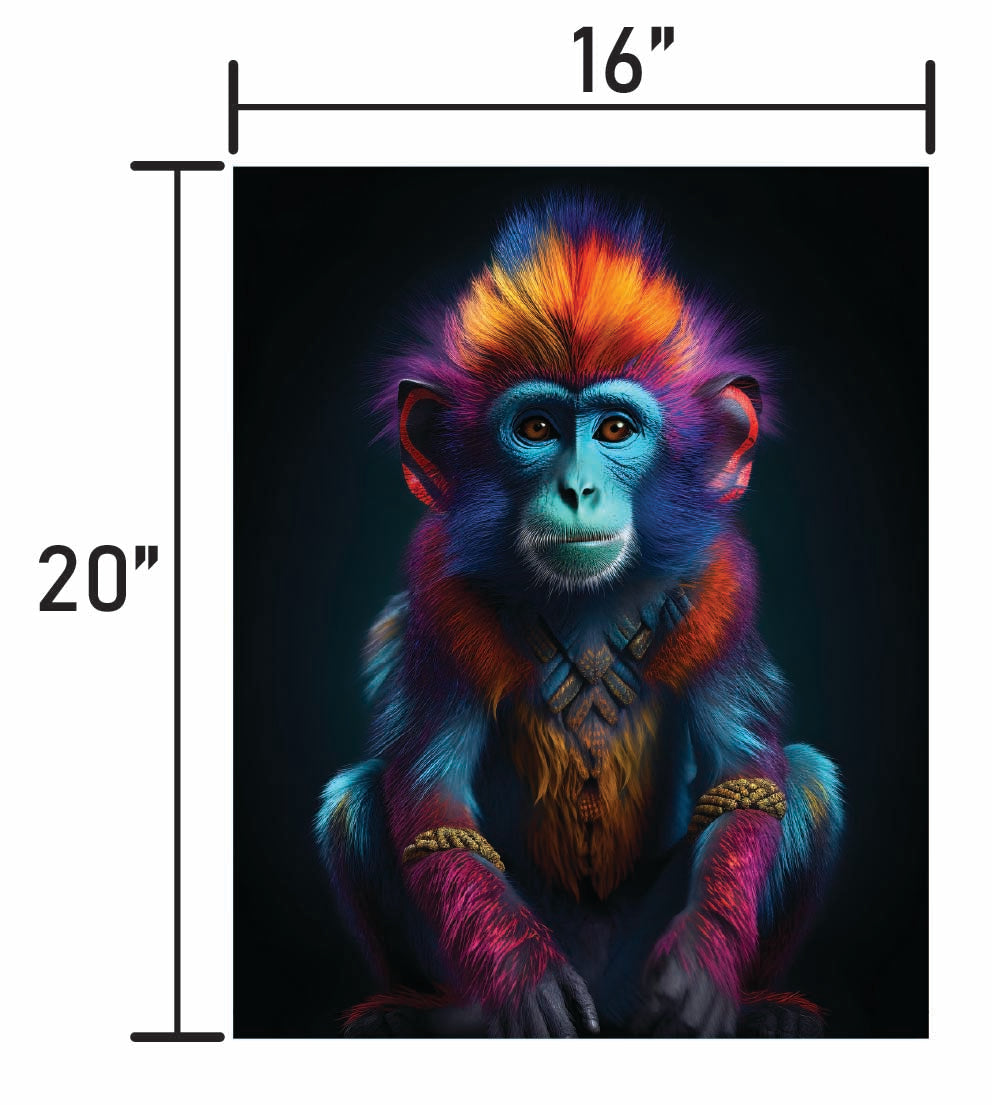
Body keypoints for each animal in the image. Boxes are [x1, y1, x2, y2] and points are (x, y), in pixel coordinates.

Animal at [315, 196, 843, 1038]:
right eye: (535, 429)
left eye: (616, 430)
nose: (577, 488)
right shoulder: (437, 593)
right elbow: (433, 810)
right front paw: (526, 977)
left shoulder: (721, 581)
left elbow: (746, 781)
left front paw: (702, 961)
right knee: (354, 802)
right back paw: (419, 1007)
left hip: (630, 968)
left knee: (810, 778)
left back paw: (767, 1004)